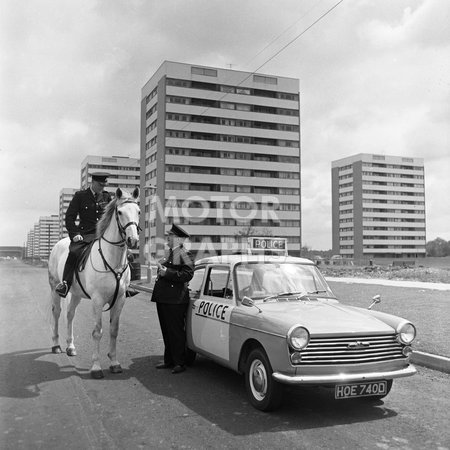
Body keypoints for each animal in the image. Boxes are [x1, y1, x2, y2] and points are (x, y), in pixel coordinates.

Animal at [48, 188, 140, 378]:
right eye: (120, 212)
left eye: (139, 212)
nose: (133, 240)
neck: (112, 259)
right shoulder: (98, 300)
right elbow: (97, 332)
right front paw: (96, 367)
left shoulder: (120, 300)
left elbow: (114, 330)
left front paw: (114, 363)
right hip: (55, 288)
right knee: (57, 312)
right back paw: (56, 345)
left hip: (76, 293)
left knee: (70, 315)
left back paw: (70, 346)